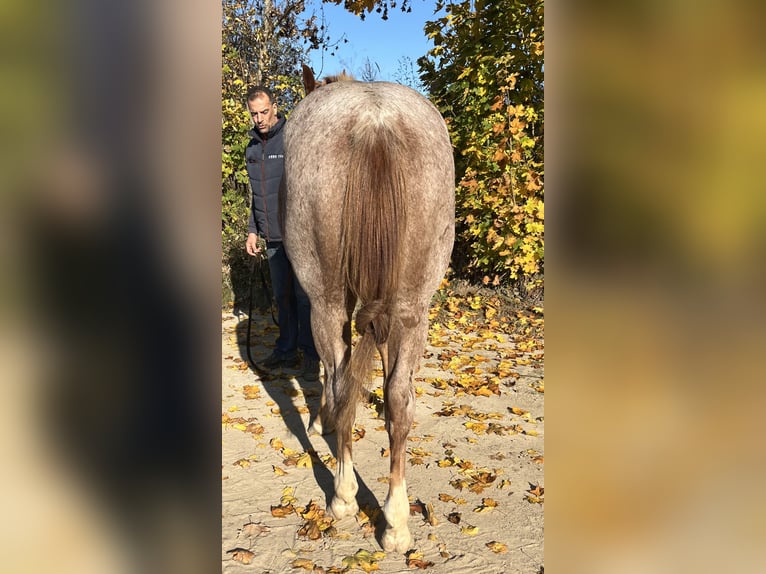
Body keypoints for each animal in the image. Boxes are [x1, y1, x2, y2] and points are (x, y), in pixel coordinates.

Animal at [284, 65, 456, 556]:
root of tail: (374, 123)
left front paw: (320, 417)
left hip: (325, 301)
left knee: (342, 382)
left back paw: (343, 495)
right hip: (415, 303)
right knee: (400, 396)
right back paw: (395, 523)